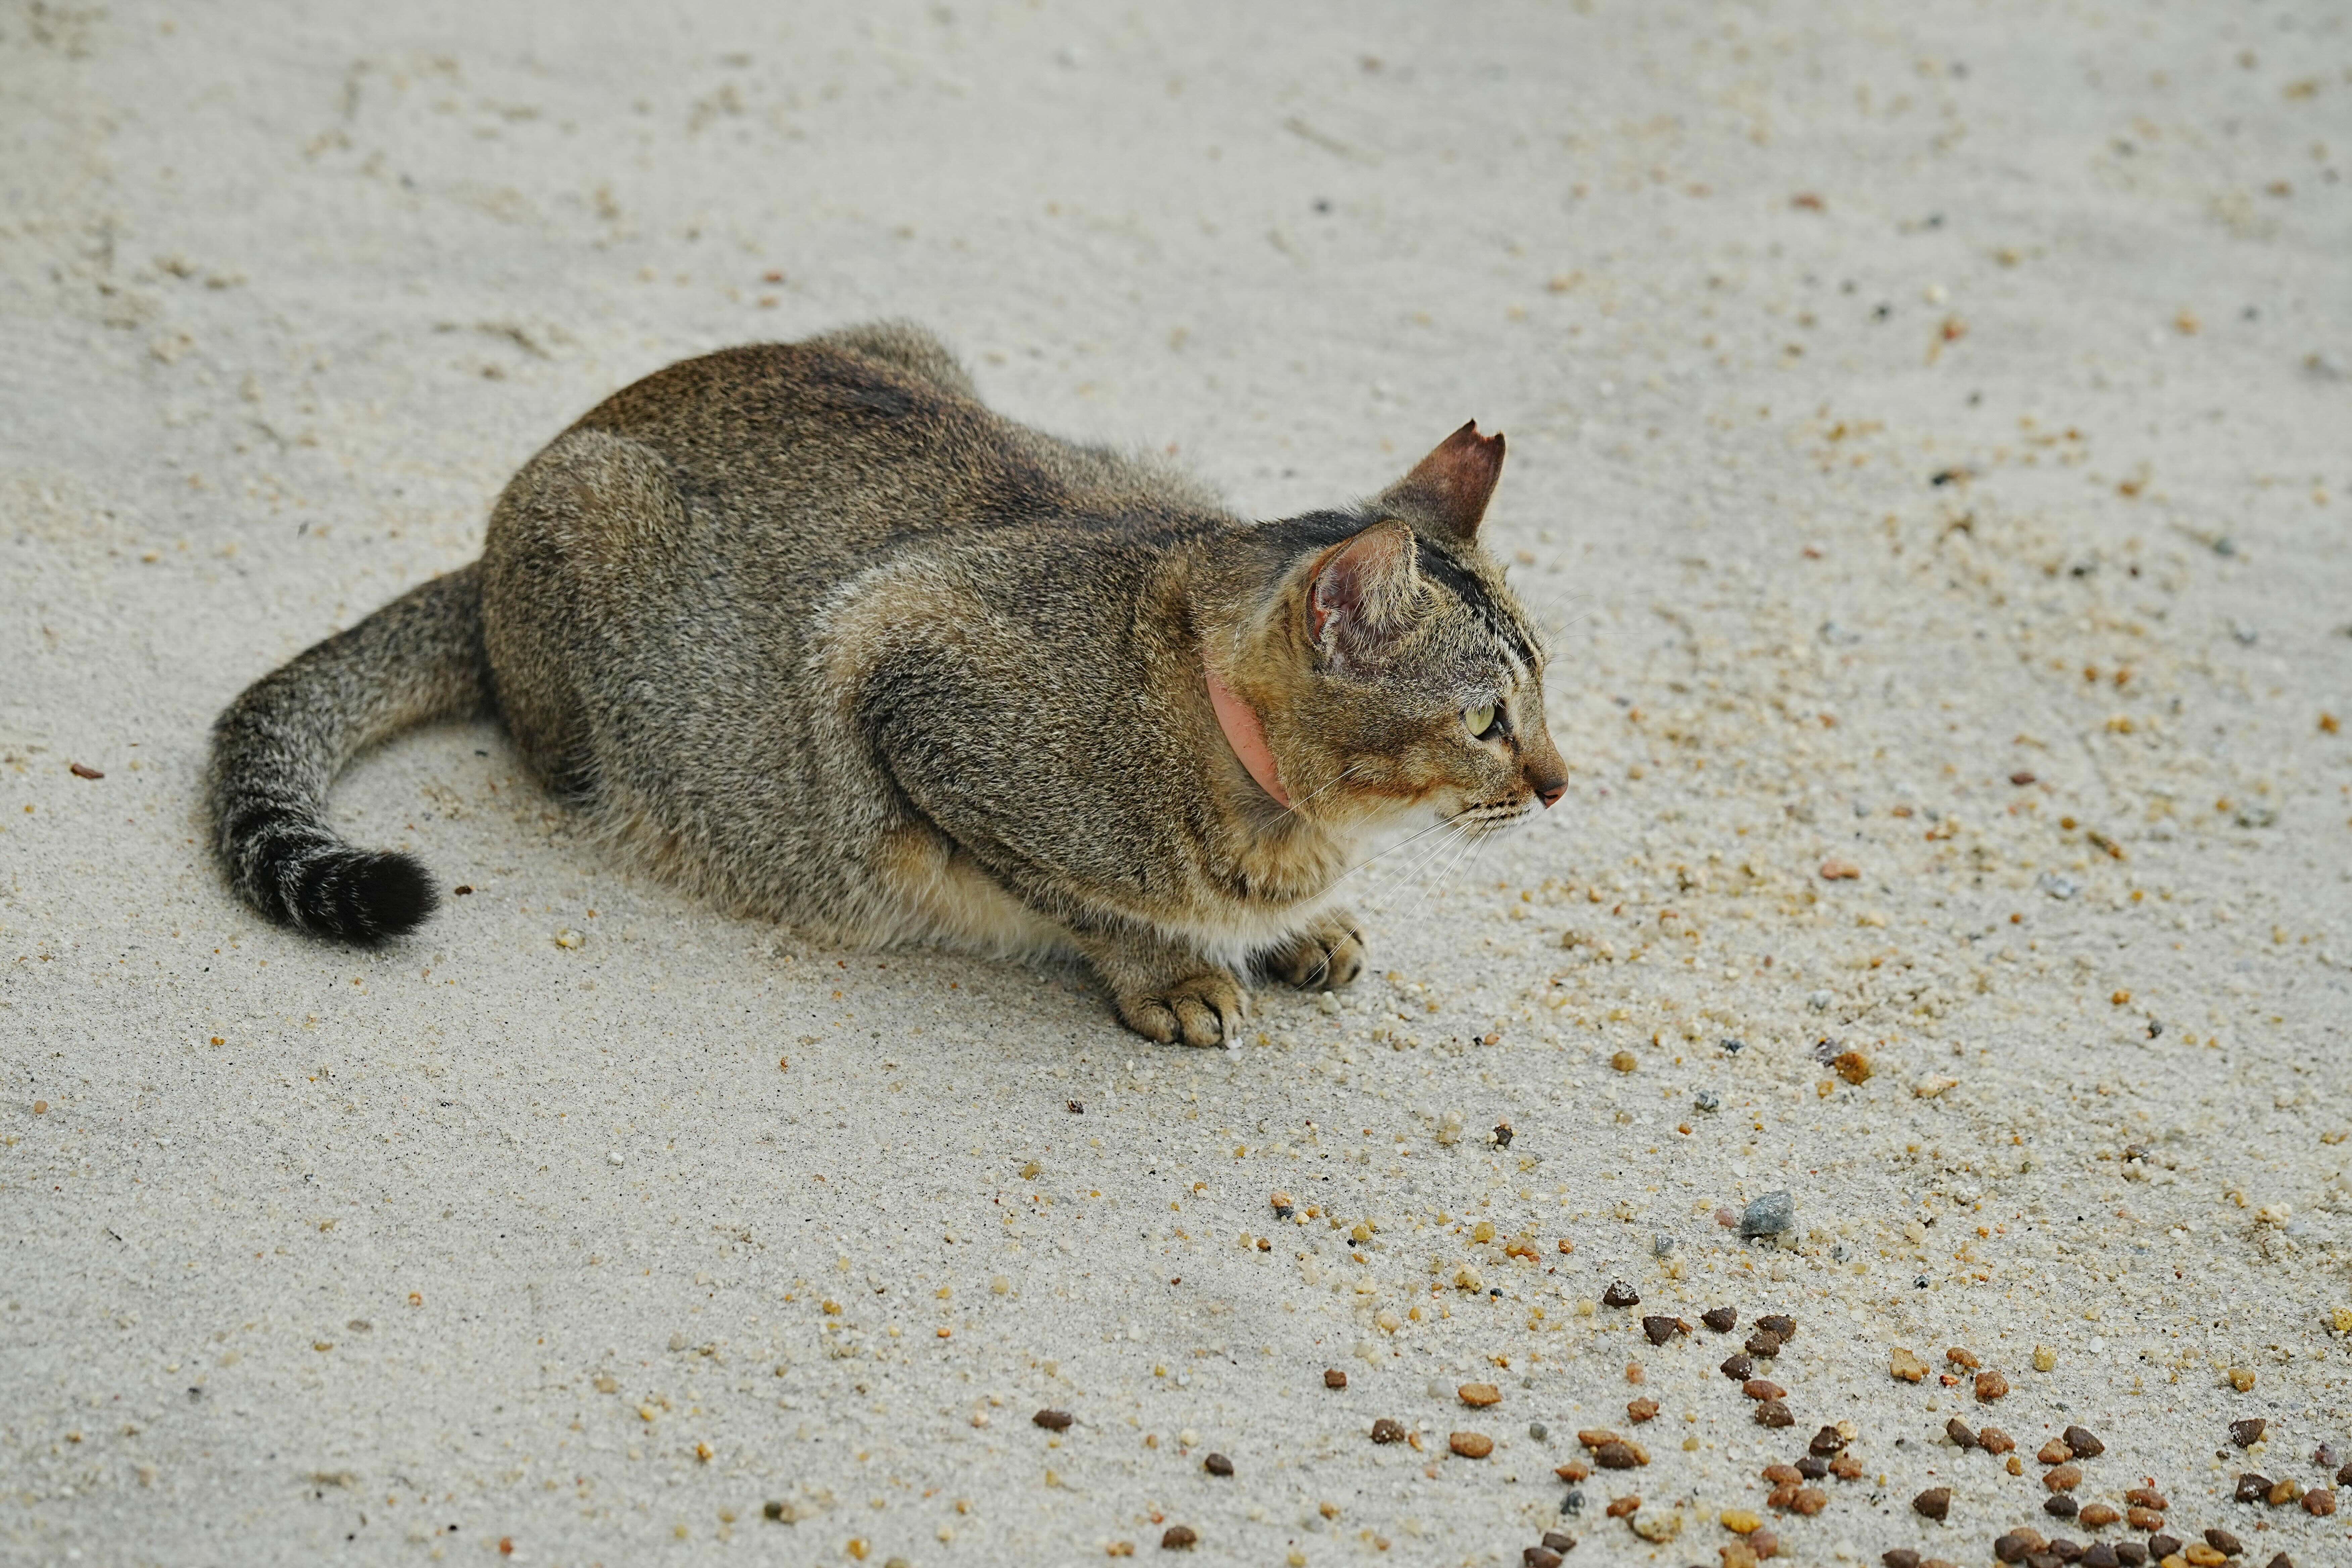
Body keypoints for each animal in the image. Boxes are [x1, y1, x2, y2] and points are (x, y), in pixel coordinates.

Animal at [208, 322, 1567, 1045]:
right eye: (1485, 720)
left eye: (1546, 690)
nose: (1562, 783)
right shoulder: (897, 679)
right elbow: (1085, 901)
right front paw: (1173, 970)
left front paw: (1300, 927)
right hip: (592, 520)